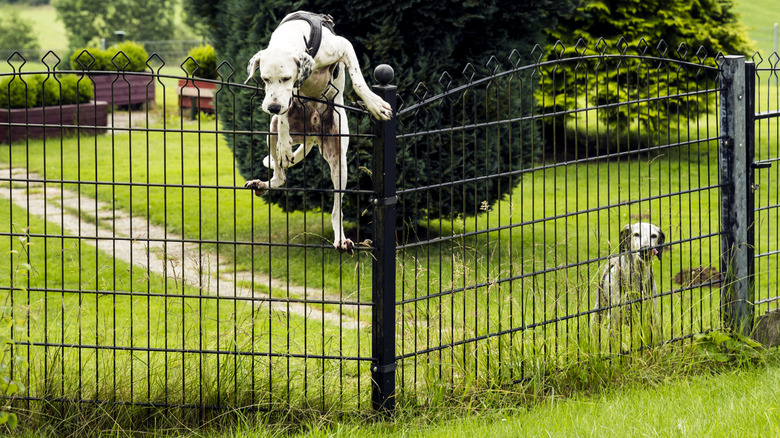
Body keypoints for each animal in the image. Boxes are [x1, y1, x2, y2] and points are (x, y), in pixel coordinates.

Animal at [242, 12, 390, 255]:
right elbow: (284, 118)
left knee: (337, 210)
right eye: (264, 79)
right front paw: (285, 145)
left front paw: (375, 103)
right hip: (270, 131)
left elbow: (358, 81)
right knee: (280, 175)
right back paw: (265, 181)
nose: (272, 107)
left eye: (285, 78)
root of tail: (311, 134)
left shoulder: (344, 47)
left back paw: (341, 239)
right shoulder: (285, 103)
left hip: (339, 162)